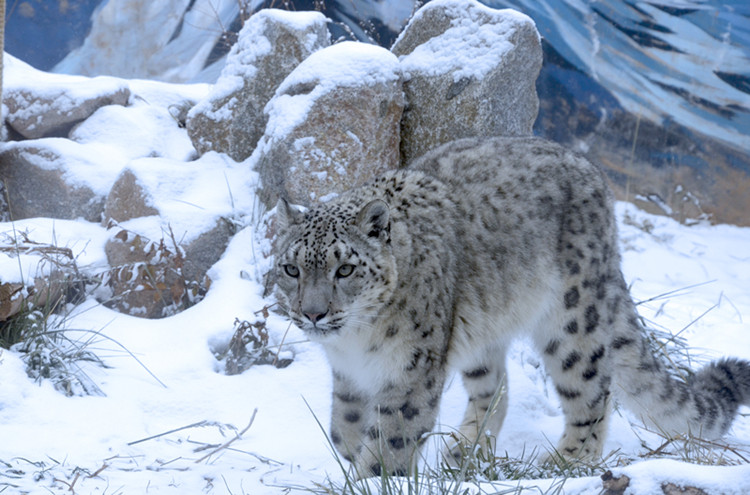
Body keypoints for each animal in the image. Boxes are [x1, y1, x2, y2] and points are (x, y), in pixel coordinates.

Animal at [270, 136, 750, 476]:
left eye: (345, 269)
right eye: (291, 268)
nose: (312, 312)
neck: (356, 341)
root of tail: (596, 178)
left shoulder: (411, 372)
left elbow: (391, 441)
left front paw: (372, 476)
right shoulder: (348, 375)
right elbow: (344, 427)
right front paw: (351, 455)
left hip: (572, 321)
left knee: (593, 389)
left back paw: (569, 461)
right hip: (483, 329)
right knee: (496, 386)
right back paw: (465, 449)